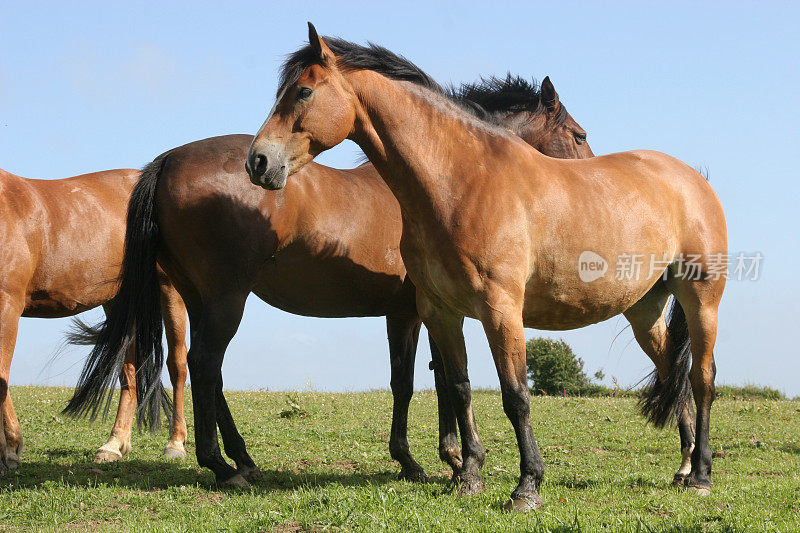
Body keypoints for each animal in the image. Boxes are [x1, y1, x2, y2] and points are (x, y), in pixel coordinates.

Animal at [0, 167, 189, 474]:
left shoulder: (8, 304)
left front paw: (10, 450)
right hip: (119, 303)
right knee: (129, 372)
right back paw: (114, 445)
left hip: (170, 290)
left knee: (177, 365)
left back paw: (175, 444)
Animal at [65, 76, 592, 486]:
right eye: (578, 133)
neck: (433, 183)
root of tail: (170, 159)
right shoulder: (415, 313)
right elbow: (420, 381)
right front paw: (434, 459)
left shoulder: (416, 313)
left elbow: (431, 379)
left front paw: (440, 457)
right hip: (224, 299)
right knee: (205, 364)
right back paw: (222, 466)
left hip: (201, 299)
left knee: (208, 372)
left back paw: (244, 459)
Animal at [242, 26, 724, 512]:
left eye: (303, 91)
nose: (258, 161)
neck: (461, 182)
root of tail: (693, 179)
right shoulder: (439, 312)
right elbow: (457, 388)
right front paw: (468, 475)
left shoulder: (500, 309)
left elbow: (515, 396)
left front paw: (526, 486)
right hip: (644, 310)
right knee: (674, 373)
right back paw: (683, 469)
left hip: (701, 301)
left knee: (701, 378)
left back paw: (701, 474)